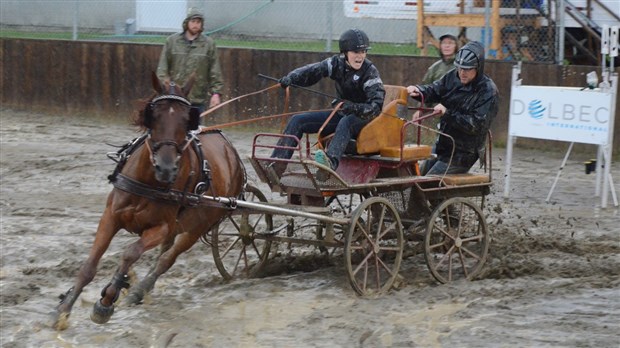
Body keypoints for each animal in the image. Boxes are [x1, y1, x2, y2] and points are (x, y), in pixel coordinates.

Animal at [53, 72, 246, 328]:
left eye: (186, 120)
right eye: (154, 116)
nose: (166, 168)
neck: (148, 182)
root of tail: (232, 152)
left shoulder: (160, 228)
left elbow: (130, 253)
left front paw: (107, 300)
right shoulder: (110, 217)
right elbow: (89, 265)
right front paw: (63, 309)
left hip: (198, 226)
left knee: (167, 259)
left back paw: (139, 290)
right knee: (163, 254)